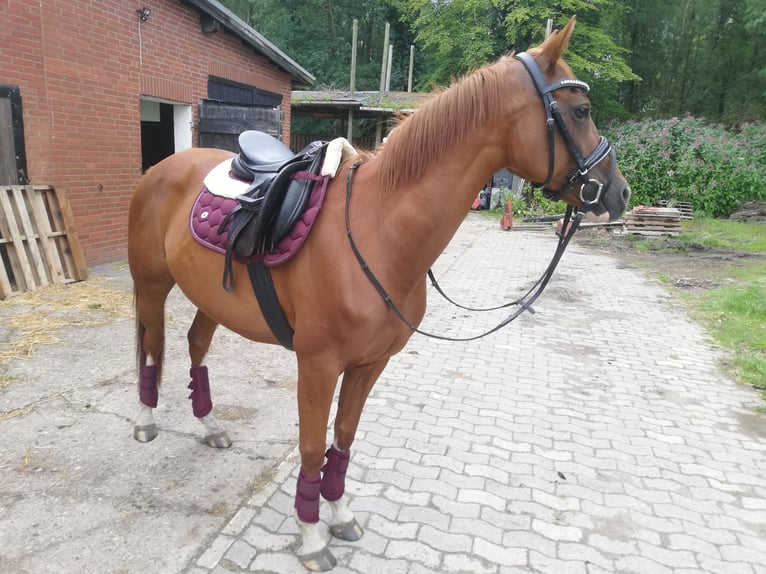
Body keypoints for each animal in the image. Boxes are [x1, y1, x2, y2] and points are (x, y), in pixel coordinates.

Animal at [127, 18, 632, 572]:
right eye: (580, 110)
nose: (620, 193)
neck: (377, 230)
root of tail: (162, 169)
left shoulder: (371, 364)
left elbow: (343, 440)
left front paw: (340, 515)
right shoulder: (318, 364)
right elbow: (311, 446)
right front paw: (311, 538)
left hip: (210, 299)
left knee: (195, 346)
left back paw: (210, 426)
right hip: (151, 288)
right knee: (152, 348)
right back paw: (146, 422)